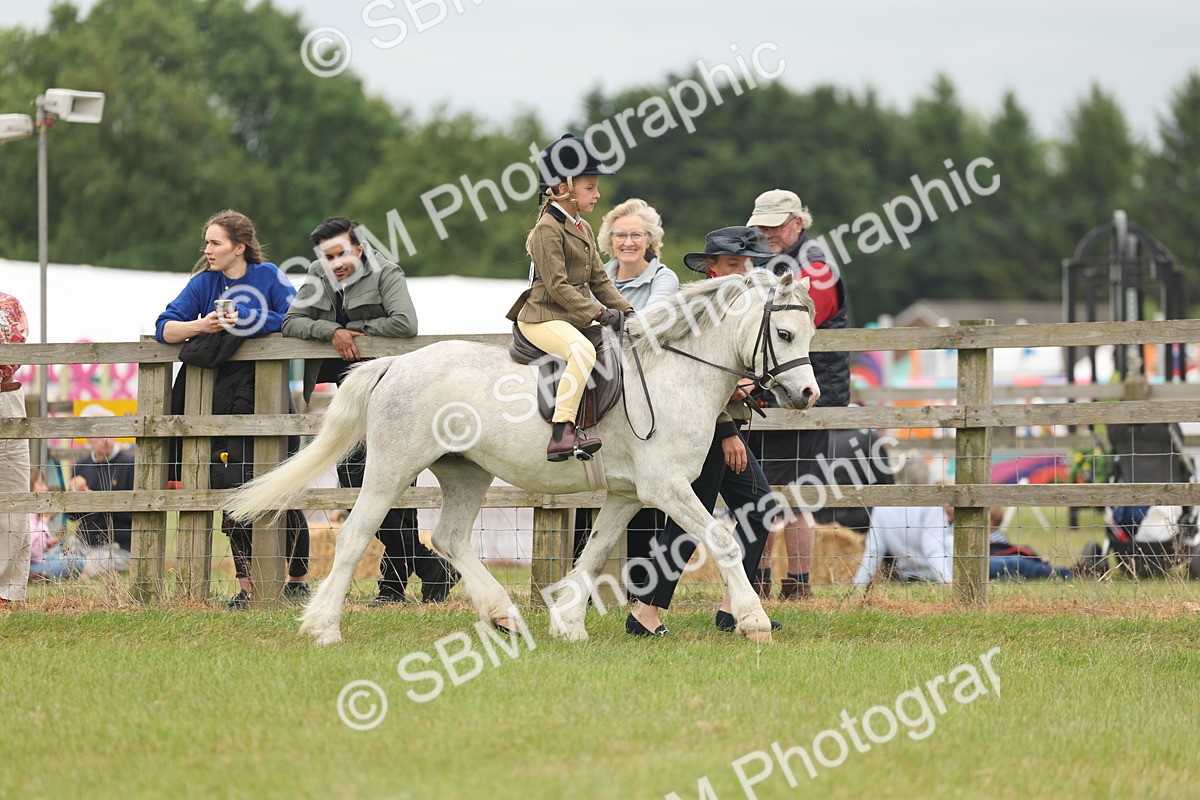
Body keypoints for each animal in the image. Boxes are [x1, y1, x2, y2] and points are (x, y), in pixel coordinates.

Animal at [224, 270, 819, 645]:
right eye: (784, 332)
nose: (808, 394)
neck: (674, 370)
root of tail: (395, 365)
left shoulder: (628, 494)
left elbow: (594, 552)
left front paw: (568, 624)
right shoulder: (666, 487)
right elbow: (721, 539)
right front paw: (753, 620)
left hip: (465, 473)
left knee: (450, 539)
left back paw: (503, 615)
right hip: (392, 469)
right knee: (355, 537)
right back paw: (323, 628)